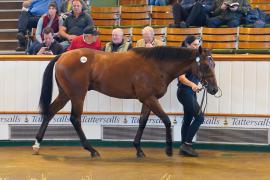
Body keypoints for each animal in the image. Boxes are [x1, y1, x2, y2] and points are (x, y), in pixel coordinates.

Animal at [32, 46, 217, 158]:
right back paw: (92, 150)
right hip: (77, 95)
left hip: (65, 94)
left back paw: (37, 144)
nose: (214, 89)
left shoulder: (147, 100)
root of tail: (63, 55)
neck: (156, 66)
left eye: (213, 64)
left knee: (50, 112)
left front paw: (138, 149)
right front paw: (169, 149)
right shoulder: (149, 98)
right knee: (75, 119)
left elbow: (142, 121)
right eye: (206, 66)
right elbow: (166, 120)